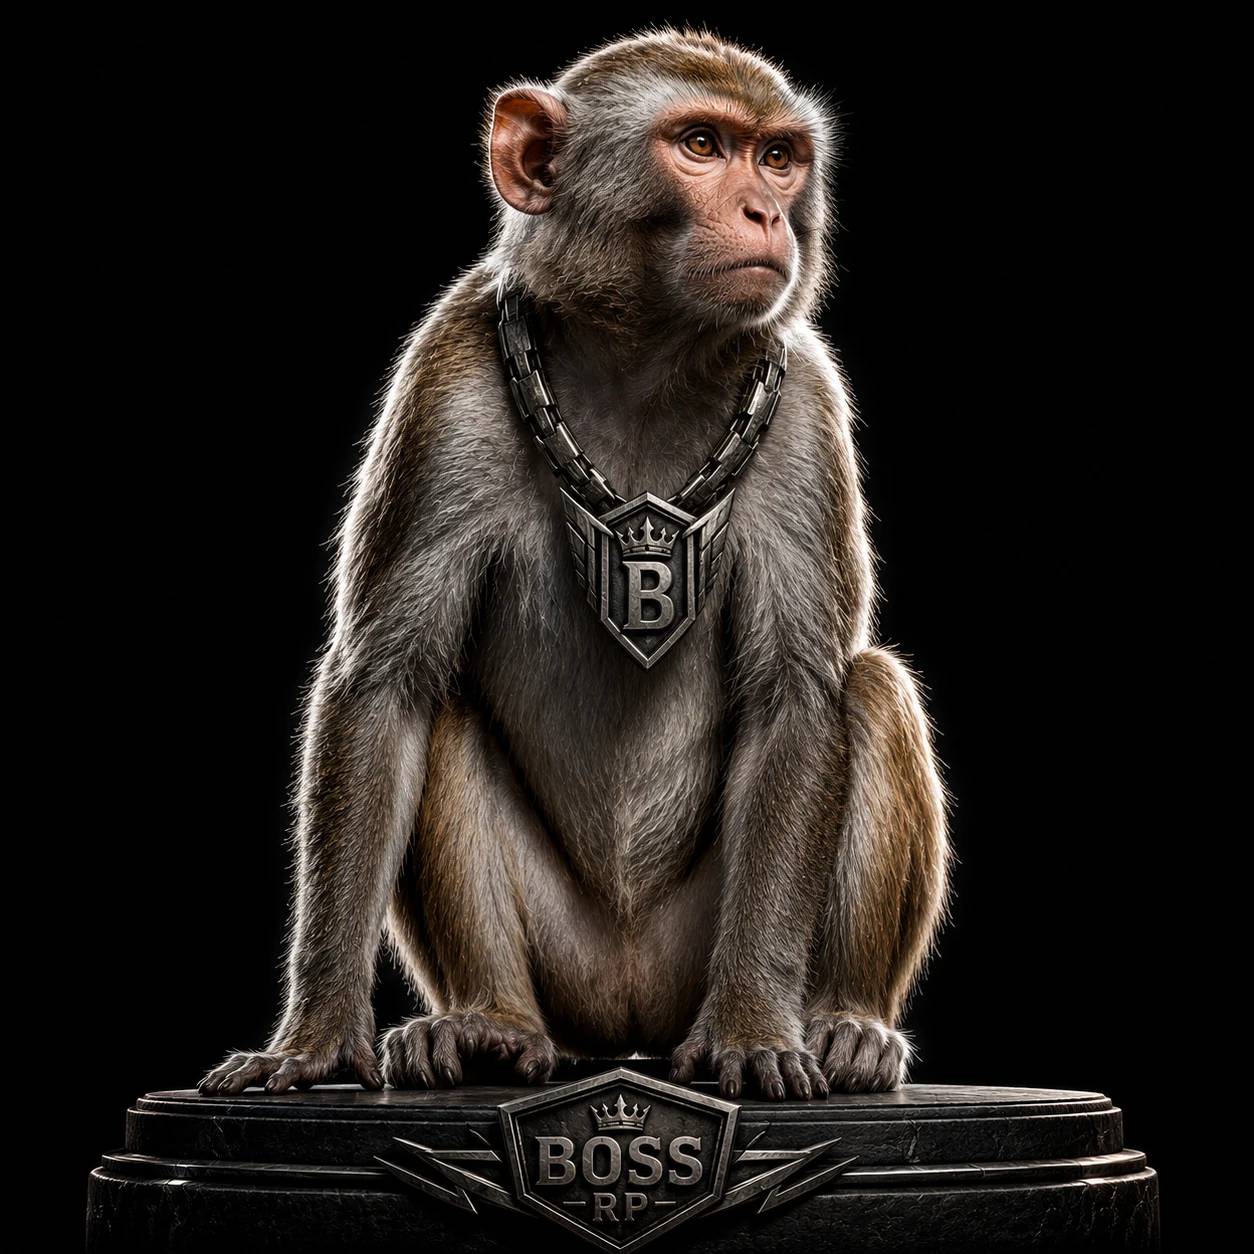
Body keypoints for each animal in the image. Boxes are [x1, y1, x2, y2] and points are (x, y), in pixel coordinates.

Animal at [199, 26, 950, 1104]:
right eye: (701, 145)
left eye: (778, 158)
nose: (767, 212)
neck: (643, 353)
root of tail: (626, 1033)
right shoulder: (448, 378)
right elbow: (385, 685)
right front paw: (316, 1033)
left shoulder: (806, 400)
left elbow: (794, 696)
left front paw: (756, 1026)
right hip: (572, 968)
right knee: (444, 710)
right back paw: (488, 1025)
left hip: (684, 961)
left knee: (872, 687)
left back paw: (845, 1024)